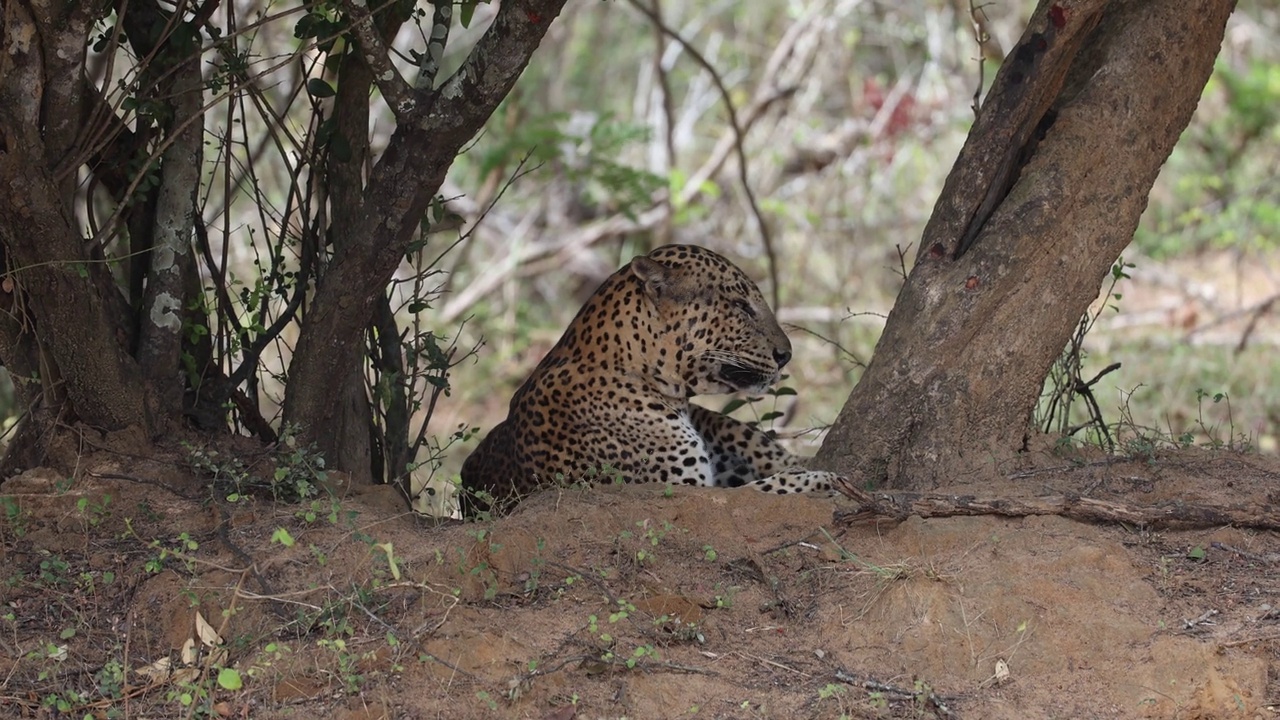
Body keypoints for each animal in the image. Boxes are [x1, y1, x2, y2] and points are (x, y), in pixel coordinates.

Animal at [458, 243, 839, 512]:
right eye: (741, 306)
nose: (786, 354)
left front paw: (819, 475)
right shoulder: (680, 491)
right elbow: (763, 490)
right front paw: (820, 481)